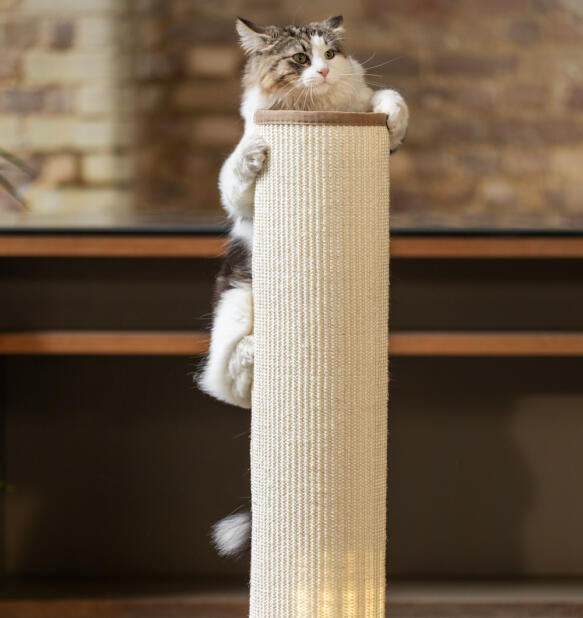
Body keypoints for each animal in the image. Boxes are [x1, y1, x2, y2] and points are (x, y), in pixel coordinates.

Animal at [198, 14, 408, 556]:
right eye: (298, 59)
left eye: (330, 54)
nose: (323, 70)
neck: (316, 115)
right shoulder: (239, 198)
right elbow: (237, 171)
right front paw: (253, 153)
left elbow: (389, 98)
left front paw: (392, 115)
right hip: (238, 300)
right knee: (223, 378)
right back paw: (255, 351)